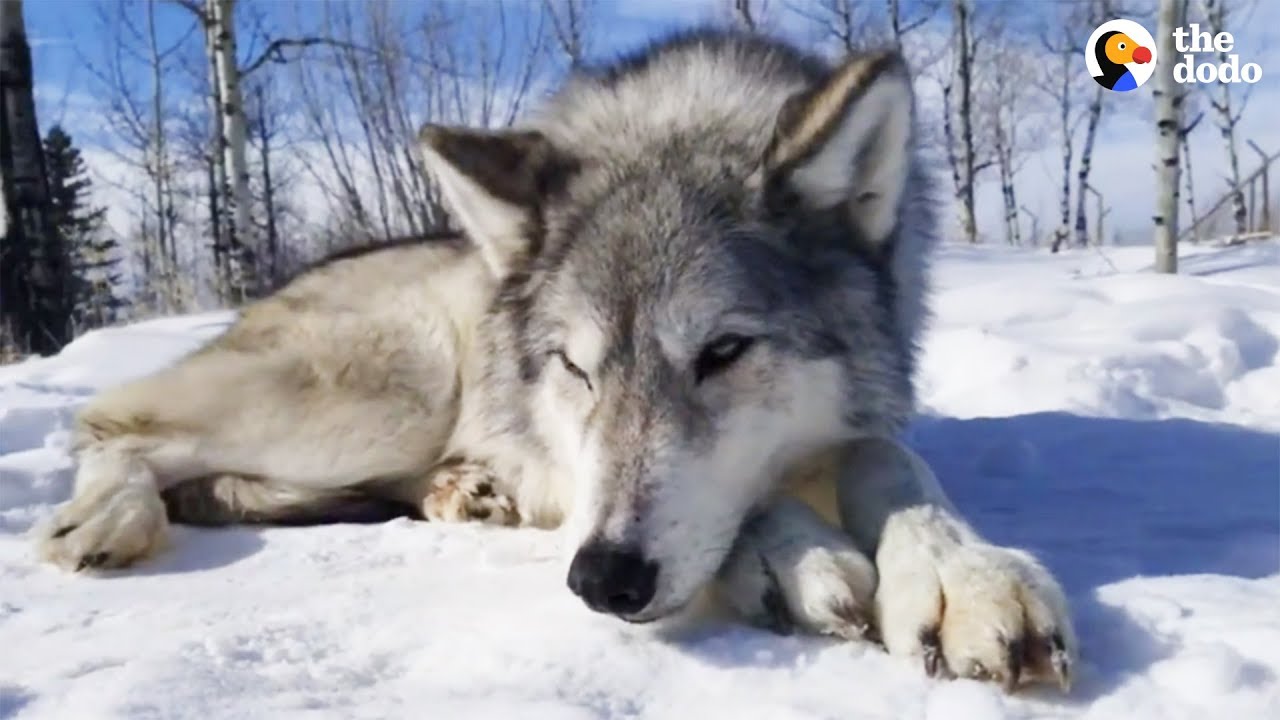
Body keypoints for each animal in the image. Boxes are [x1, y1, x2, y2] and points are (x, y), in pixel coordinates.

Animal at [35, 30, 1075, 692]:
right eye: (576, 370)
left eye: (724, 352)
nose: (604, 580)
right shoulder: (574, 471)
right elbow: (752, 503)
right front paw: (796, 554)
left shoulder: (863, 418)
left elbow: (889, 462)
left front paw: (962, 574)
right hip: (392, 392)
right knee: (113, 423)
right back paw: (104, 520)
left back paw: (461, 491)